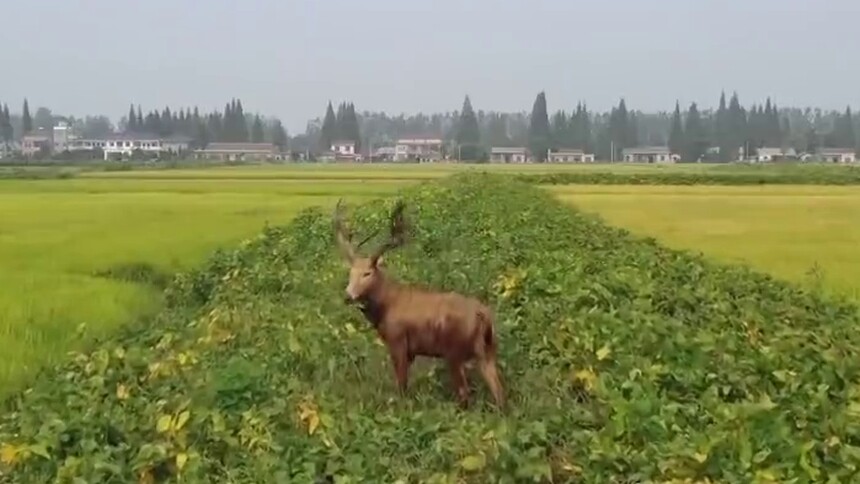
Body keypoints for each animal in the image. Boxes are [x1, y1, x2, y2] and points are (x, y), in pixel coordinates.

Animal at [333, 198, 506, 410]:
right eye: (350, 273)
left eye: (367, 273)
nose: (348, 296)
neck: (386, 304)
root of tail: (483, 315)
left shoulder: (398, 340)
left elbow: (401, 385)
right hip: (488, 350)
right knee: (499, 392)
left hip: (454, 351)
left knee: (464, 393)